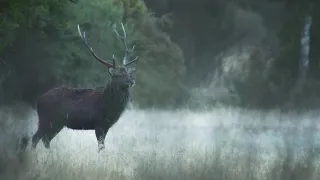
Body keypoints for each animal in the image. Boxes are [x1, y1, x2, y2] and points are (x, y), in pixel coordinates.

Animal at [19, 22, 138, 152]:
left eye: (128, 73)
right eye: (118, 75)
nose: (132, 81)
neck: (109, 106)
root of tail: (38, 100)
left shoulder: (106, 125)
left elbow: (102, 146)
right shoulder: (98, 123)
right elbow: (101, 146)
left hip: (57, 123)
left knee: (46, 139)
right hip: (46, 118)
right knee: (36, 137)